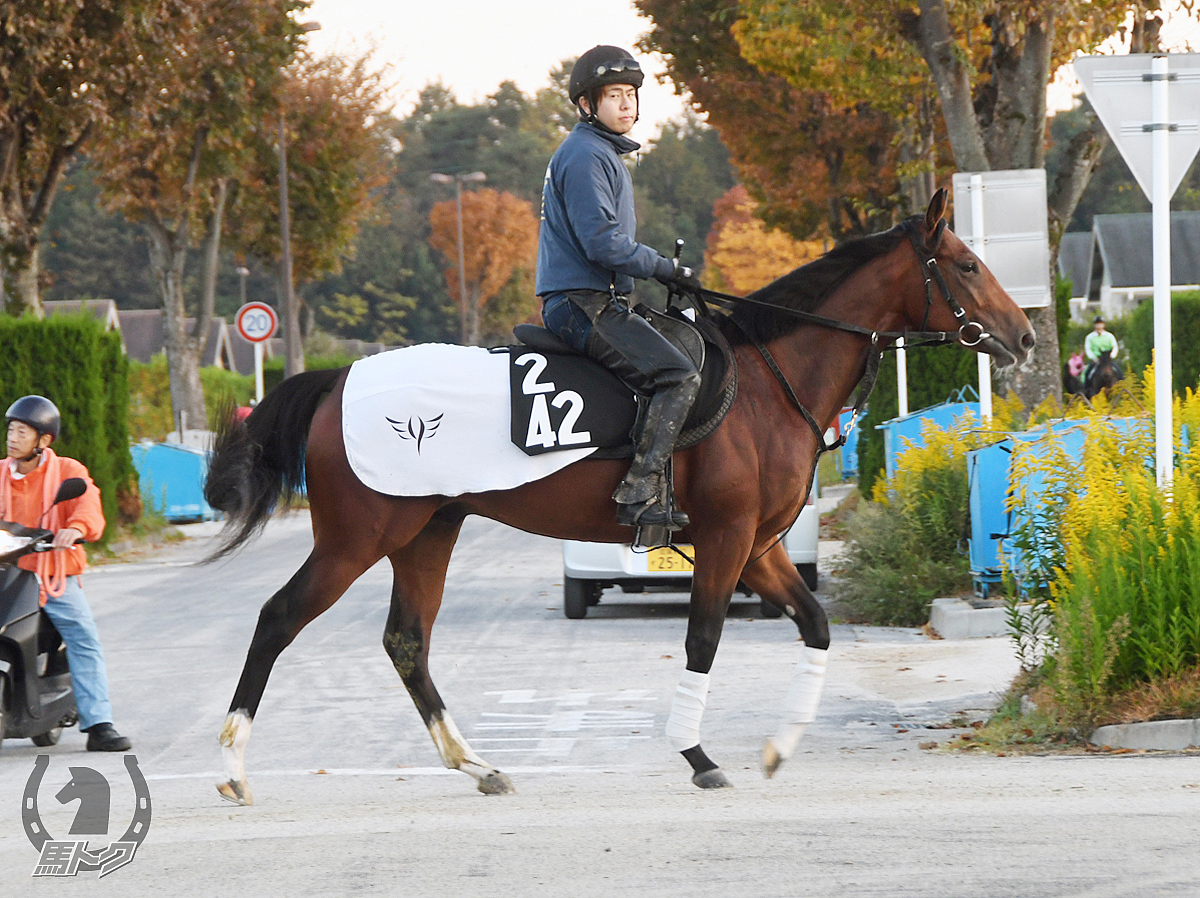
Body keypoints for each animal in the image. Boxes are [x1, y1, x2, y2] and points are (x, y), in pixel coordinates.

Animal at [204, 189, 1032, 806]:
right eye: (966, 265)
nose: (1023, 336)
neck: (766, 385)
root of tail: (338, 381)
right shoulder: (727, 539)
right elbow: (703, 638)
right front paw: (698, 754)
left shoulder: (759, 548)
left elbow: (817, 625)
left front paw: (778, 745)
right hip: (357, 537)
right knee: (278, 618)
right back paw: (233, 767)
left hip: (426, 533)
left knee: (407, 641)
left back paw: (476, 765)